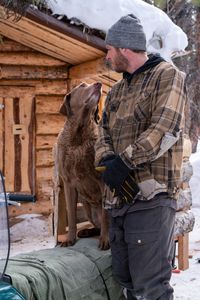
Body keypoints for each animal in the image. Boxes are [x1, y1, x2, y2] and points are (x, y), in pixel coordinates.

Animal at [55, 81, 109, 250]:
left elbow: (105, 215)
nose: (99, 83)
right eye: (82, 86)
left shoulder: (103, 180)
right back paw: (85, 232)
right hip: (88, 208)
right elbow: (72, 216)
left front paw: (105, 240)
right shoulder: (68, 182)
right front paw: (69, 239)